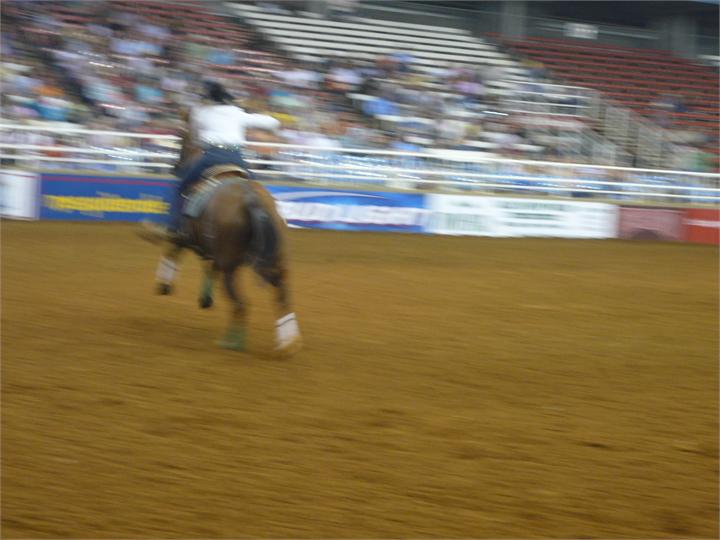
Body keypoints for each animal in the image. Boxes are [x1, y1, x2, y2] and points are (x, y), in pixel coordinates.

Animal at [143, 163, 302, 357]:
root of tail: (251, 197)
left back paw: (232, 342)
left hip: (230, 267)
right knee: (282, 296)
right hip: (275, 261)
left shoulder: (185, 237)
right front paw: (205, 298)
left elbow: (174, 250)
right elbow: (208, 267)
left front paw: (165, 285)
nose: (175, 167)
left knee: (241, 303)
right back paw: (289, 343)